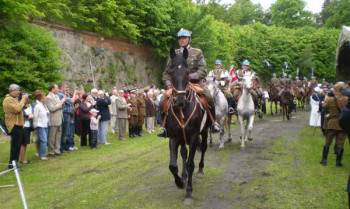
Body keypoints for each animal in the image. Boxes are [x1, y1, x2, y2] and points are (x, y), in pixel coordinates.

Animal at [165, 46, 208, 205]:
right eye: (171, 72)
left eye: (188, 72)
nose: (180, 101)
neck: (183, 110)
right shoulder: (173, 137)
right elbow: (173, 165)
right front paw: (180, 182)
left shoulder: (194, 137)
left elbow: (190, 164)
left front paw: (189, 193)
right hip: (182, 138)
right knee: (183, 153)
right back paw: (183, 176)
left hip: (205, 131)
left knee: (204, 148)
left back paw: (200, 171)